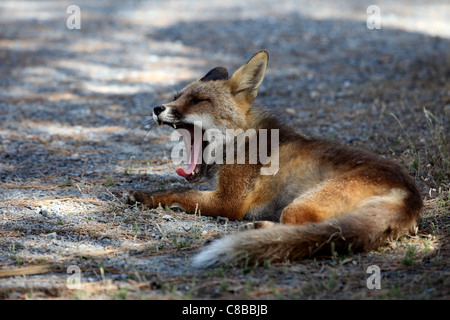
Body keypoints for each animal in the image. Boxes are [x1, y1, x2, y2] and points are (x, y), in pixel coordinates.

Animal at [128, 51, 424, 268]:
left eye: (198, 100)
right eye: (177, 97)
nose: (157, 108)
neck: (241, 140)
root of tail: (411, 195)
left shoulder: (229, 201)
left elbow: (181, 192)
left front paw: (147, 196)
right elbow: (182, 189)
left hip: (299, 205)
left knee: (305, 228)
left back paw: (259, 230)